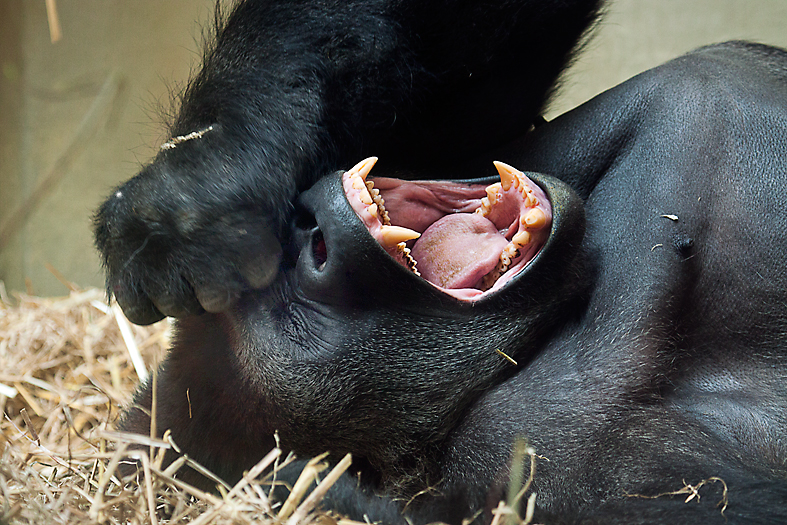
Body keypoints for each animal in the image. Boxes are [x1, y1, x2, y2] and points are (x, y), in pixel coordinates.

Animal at [94, 2, 787, 520]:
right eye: (293, 323)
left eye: (292, 251)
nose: (316, 234)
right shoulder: (532, 456)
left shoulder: (498, 143)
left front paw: (200, 182)